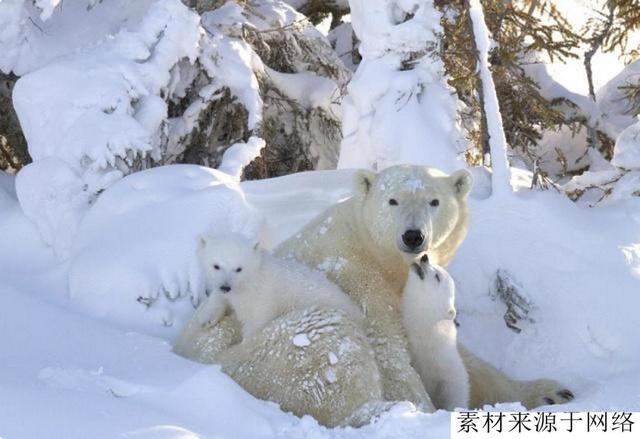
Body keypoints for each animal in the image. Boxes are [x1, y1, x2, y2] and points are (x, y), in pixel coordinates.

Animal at [172, 165, 572, 426]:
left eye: (434, 201)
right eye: (392, 200)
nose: (413, 236)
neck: (384, 260)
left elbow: (461, 357)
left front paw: (550, 391)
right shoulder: (358, 278)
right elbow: (387, 350)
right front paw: (424, 412)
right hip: (254, 360)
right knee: (329, 342)